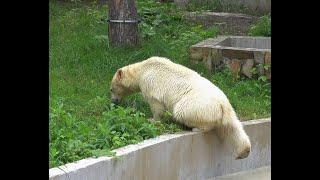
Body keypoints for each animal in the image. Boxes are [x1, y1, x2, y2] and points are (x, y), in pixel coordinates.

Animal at [111, 56, 251, 159]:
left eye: (112, 89)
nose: (113, 101)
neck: (142, 69)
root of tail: (223, 104)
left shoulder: (150, 84)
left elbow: (156, 105)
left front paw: (152, 119)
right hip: (228, 110)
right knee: (234, 127)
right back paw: (244, 152)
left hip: (196, 105)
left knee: (182, 111)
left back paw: (196, 128)